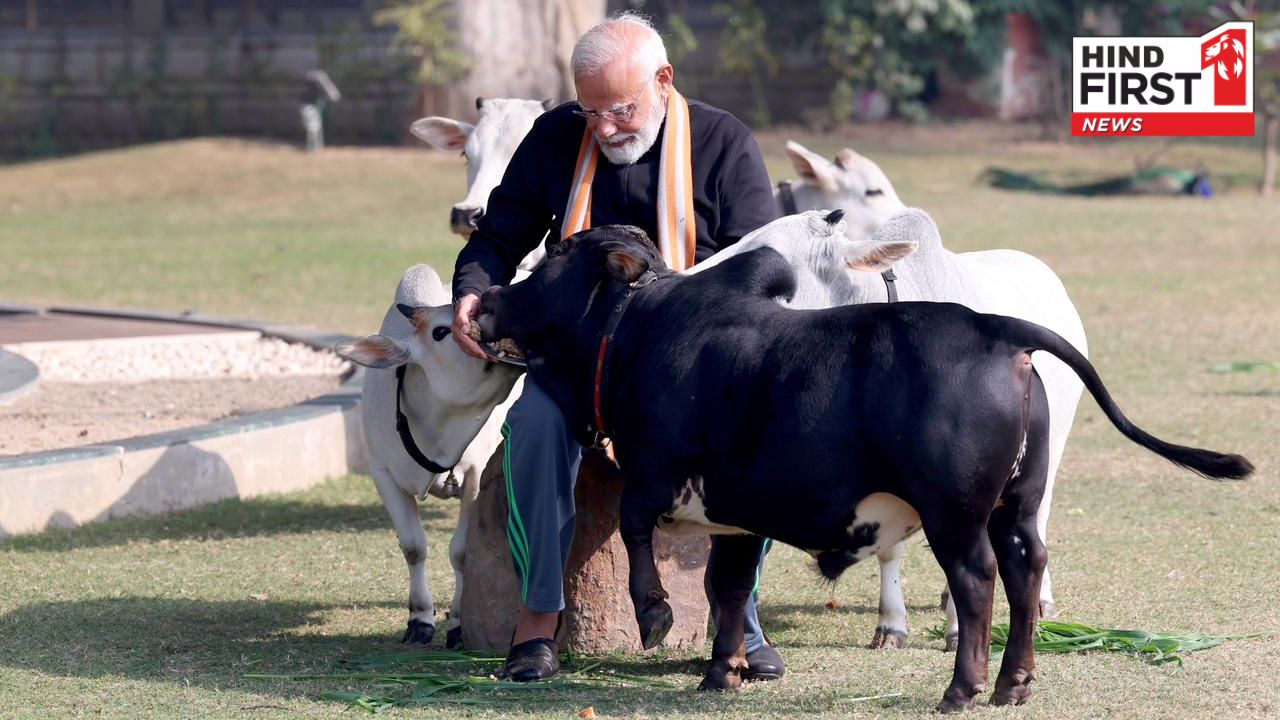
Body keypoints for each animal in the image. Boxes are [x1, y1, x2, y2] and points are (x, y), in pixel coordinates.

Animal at [335, 263, 523, 648]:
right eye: (440, 332)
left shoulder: (476, 477)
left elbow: (462, 552)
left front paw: (459, 623)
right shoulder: (383, 476)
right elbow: (413, 547)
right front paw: (420, 619)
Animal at [472, 219, 1252, 711]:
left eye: (557, 257)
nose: (491, 300)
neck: (640, 328)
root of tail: (991, 328)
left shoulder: (657, 469)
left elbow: (638, 531)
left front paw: (657, 613)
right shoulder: (739, 508)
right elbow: (728, 588)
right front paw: (723, 670)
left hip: (954, 514)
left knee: (977, 583)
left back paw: (963, 689)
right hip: (1017, 505)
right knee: (1025, 573)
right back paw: (1013, 682)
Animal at [776, 142, 1088, 647]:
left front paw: (960, 630)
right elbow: (892, 550)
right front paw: (891, 624)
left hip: (1052, 441)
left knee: (1036, 517)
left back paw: (1039, 598)